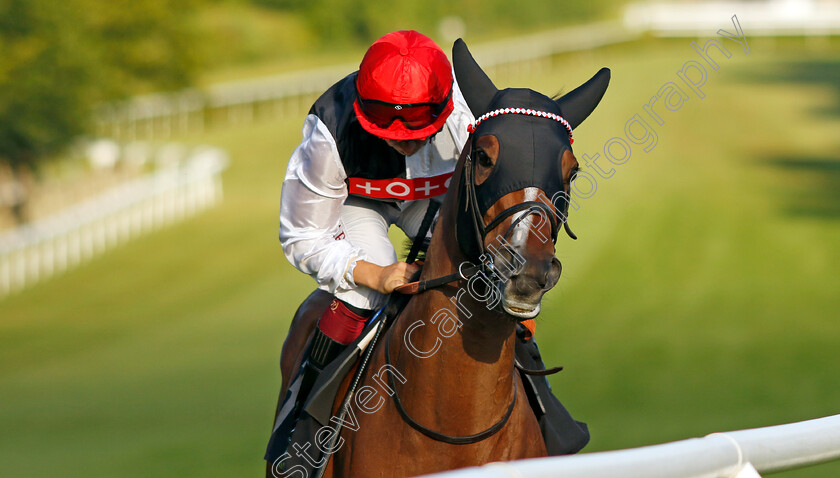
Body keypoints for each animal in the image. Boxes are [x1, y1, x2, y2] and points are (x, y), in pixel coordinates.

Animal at [270, 40, 612, 478]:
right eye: (484, 157)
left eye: (572, 171)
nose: (527, 270)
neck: (455, 428)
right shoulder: (322, 148)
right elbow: (302, 235)